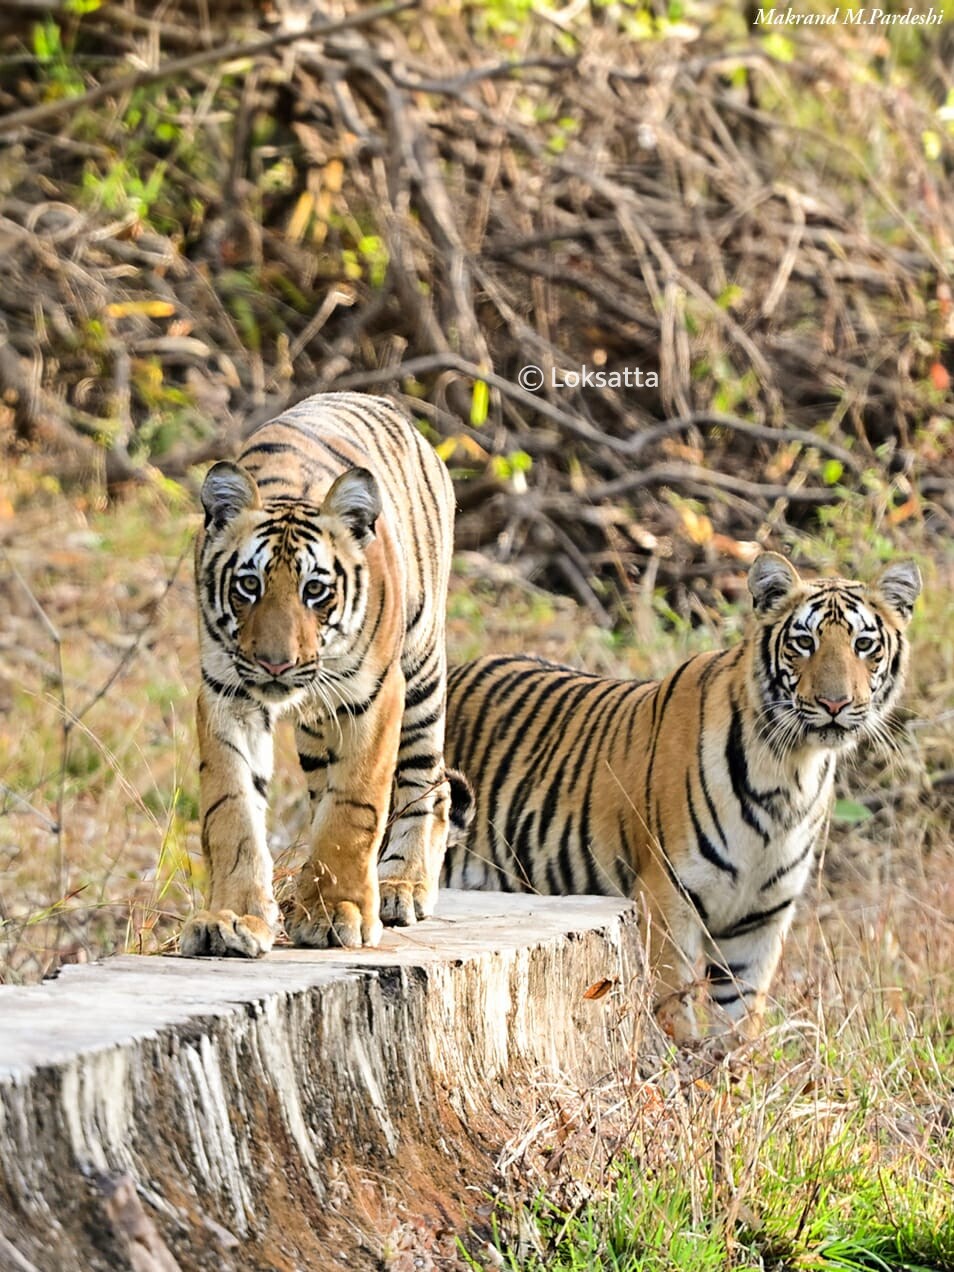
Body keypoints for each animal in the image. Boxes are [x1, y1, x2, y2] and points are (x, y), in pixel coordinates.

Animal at [184, 391, 463, 956]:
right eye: (249, 585)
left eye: (315, 590)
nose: (275, 663)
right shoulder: (226, 695)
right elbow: (232, 809)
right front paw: (233, 918)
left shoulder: (374, 696)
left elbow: (353, 808)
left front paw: (338, 912)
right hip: (317, 725)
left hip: (422, 670)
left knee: (430, 781)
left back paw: (402, 886)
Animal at [445, 557, 920, 1043]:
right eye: (804, 643)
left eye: (864, 644)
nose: (834, 703)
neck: (790, 772)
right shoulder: (667, 898)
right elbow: (674, 1008)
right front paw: (680, 1057)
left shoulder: (761, 919)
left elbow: (739, 1021)